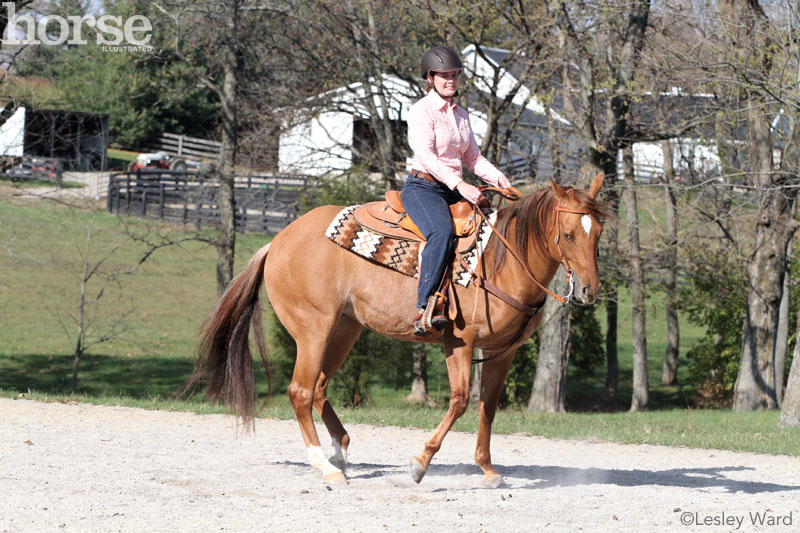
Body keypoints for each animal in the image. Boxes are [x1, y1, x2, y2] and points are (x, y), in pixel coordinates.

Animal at [192, 174, 608, 486]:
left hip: (344, 330)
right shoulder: (458, 342)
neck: (500, 261)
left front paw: (488, 469)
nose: (589, 290)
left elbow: (487, 406)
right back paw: (326, 468)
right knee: (300, 391)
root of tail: (278, 241)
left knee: (320, 388)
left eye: (598, 232)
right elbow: (460, 401)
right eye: (568, 234)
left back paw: (340, 453)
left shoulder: (502, 352)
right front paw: (420, 463)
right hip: (313, 330)